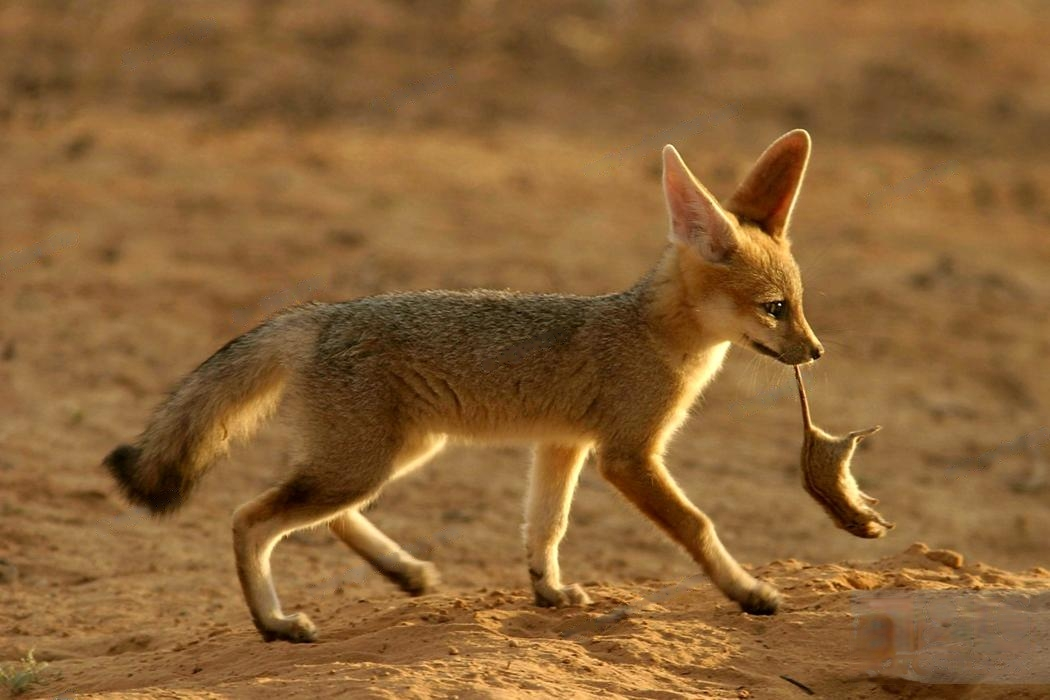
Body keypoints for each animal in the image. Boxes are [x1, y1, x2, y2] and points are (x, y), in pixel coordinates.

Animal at [106, 128, 827, 642]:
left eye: (797, 303)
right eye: (773, 309)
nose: (816, 352)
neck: (651, 333)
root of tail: (323, 314)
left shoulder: (563, 445)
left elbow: (547, 526)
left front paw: (547, 590)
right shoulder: (627, 456)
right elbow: (698, 524)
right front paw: (747, 591)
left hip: (389, 456)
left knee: (327, 519)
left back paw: (403, 571)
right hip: (362, 465)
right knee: (249, 518)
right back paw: (275, 624)